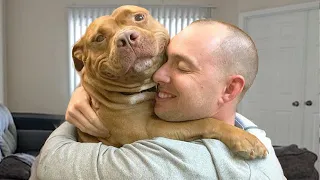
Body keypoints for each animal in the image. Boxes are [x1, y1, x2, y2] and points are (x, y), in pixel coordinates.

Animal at [72, 4, 268, 159]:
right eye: (99, 38)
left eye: (139, 17)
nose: (126, 38)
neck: (143, 88)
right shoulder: (148, 129)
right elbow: (203, 121)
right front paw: (244, 138)